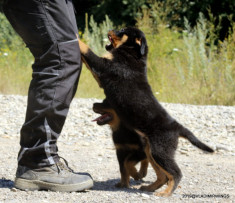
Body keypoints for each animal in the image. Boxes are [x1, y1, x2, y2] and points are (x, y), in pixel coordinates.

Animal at [78, 27, 214, 197]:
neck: (132, 55)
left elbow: (87, 50)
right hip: (151, 152)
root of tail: (177, 127)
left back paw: (165, 193)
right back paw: (149, 188)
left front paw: (76, 37)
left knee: (175, 173)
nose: (110, 29)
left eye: (122, 30)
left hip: (160, 151)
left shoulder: (103, 66)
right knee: (163, 175)